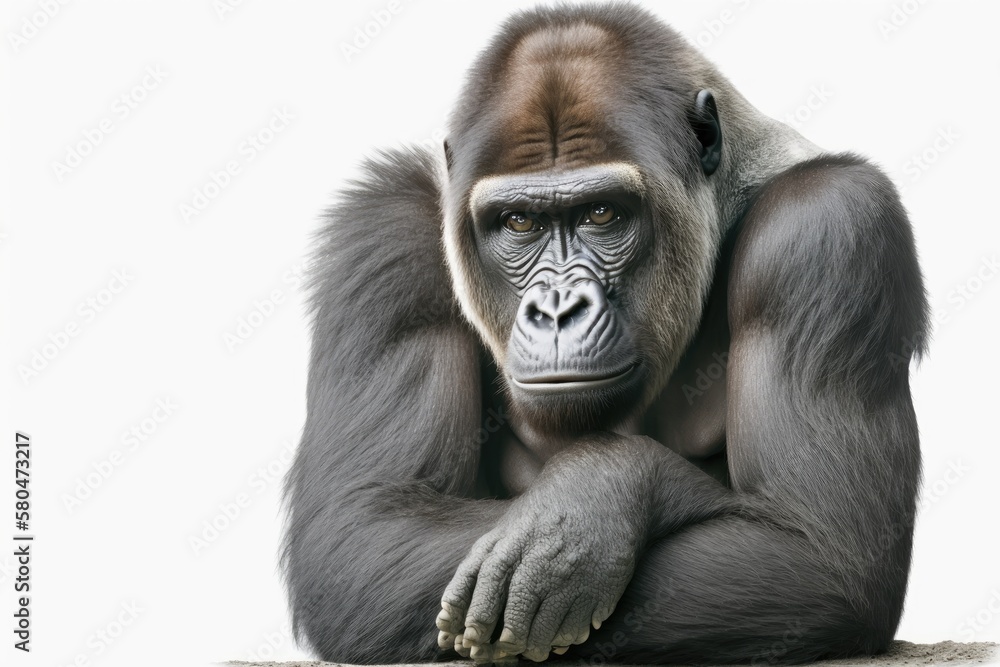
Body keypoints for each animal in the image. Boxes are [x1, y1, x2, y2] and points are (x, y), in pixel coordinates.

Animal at [282, 3, 928, 664]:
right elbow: (366, 525)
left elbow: (816, 548)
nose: (558, 308)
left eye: (602, 213)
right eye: (519, 222)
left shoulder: (829, 223)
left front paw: (596, 499)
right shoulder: (384, 229)